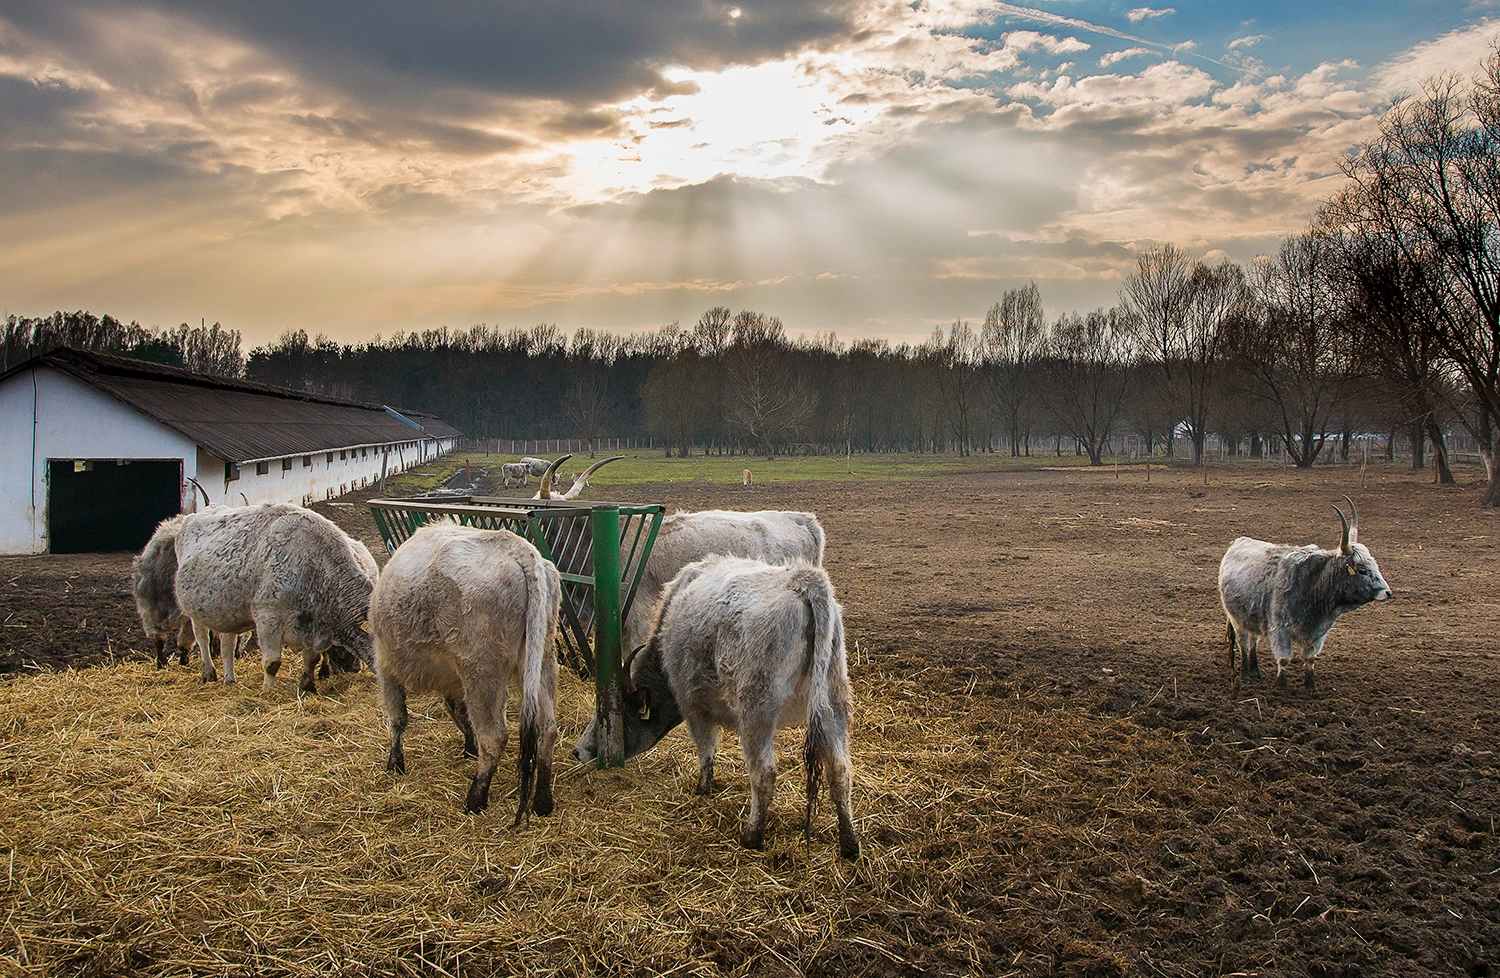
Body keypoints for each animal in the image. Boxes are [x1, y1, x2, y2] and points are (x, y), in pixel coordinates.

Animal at [369, 522, 564, 822]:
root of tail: (519, 549)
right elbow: (458, 712)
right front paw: (468, 747)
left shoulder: (386, 665)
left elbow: (397, 719)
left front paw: (395, 763)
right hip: (541, 661)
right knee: (547, 728)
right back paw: (542, 801)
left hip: (482, 672)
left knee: (494, 737)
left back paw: (475, 798)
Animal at [570, 555, 858, 858]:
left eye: (618, 714)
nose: (579, 751)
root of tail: (802, 580)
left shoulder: (693, 707)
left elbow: (706, 749)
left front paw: (703, 788)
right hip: (834, 707)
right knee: (839, 770)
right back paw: (849, 843)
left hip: (756, 713)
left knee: (764, 772)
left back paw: (752, 836)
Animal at [1218, 498, 1392, 696]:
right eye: (1362, 570)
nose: (1387, 592)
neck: (1313, 584)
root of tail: (1238, 542)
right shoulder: (1280, 630)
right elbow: (1284, 659)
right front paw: (1281, 686)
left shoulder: (1318, 633)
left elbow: (1310, 659)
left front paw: (1311, 686)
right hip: (1237, 620)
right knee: (1244, 645)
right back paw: (1246, 674)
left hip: (1252, 618)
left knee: (1253, 641)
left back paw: (1255, 671)